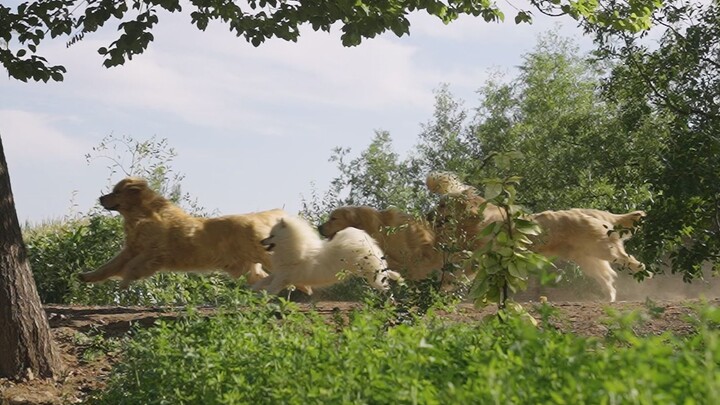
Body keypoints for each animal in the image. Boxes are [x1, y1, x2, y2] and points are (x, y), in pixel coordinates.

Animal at [252, 215, 400, 294]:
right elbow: (263, 281)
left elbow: (270, 290)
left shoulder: (282, 277)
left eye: (272, 235)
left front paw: (260, 297)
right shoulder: (279, 274)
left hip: (369, 272)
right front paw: (254, 288)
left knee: (382, 279)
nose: (261, 241)